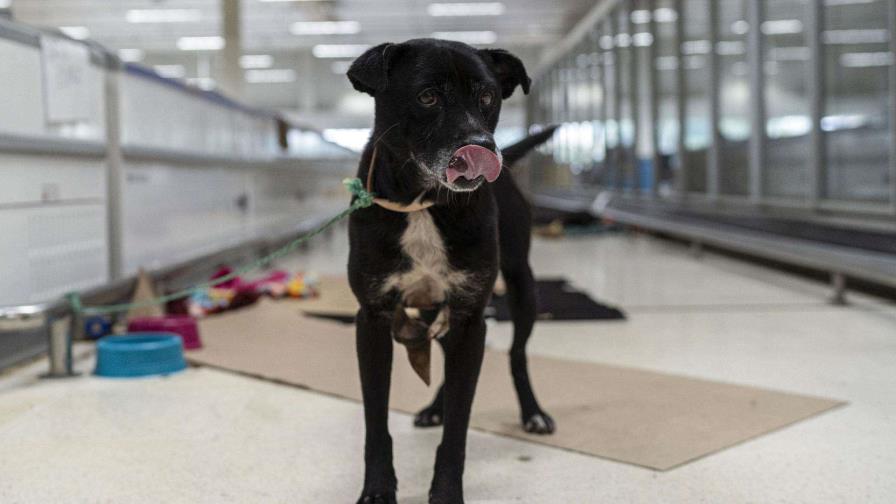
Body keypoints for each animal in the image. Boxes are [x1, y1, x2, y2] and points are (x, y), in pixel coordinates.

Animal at [346, 37, 556, 502]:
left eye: (488, 97)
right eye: (428, 97)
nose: (484, 146)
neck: (425, 202)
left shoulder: (470, 318)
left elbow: (458, 429)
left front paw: (444, 492)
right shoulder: (372, 320)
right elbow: (375, 422)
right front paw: (378, 488)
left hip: (523, 285)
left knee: (517, 354)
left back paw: (533, 413)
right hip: (432, 308)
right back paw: (434, 408)